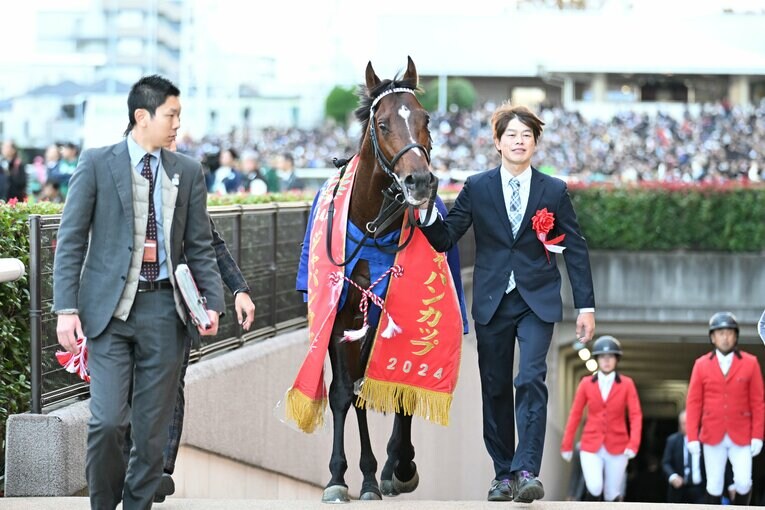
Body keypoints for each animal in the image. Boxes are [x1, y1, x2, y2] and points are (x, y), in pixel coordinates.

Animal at [322, 56, 436, 503]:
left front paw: (390, 469)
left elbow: (387, 386)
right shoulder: (341, 316)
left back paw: (395, 466)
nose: (419, 181)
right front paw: (340, 477)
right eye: (383, 123)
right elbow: (343, 393)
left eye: (424, 118)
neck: (370, 225)